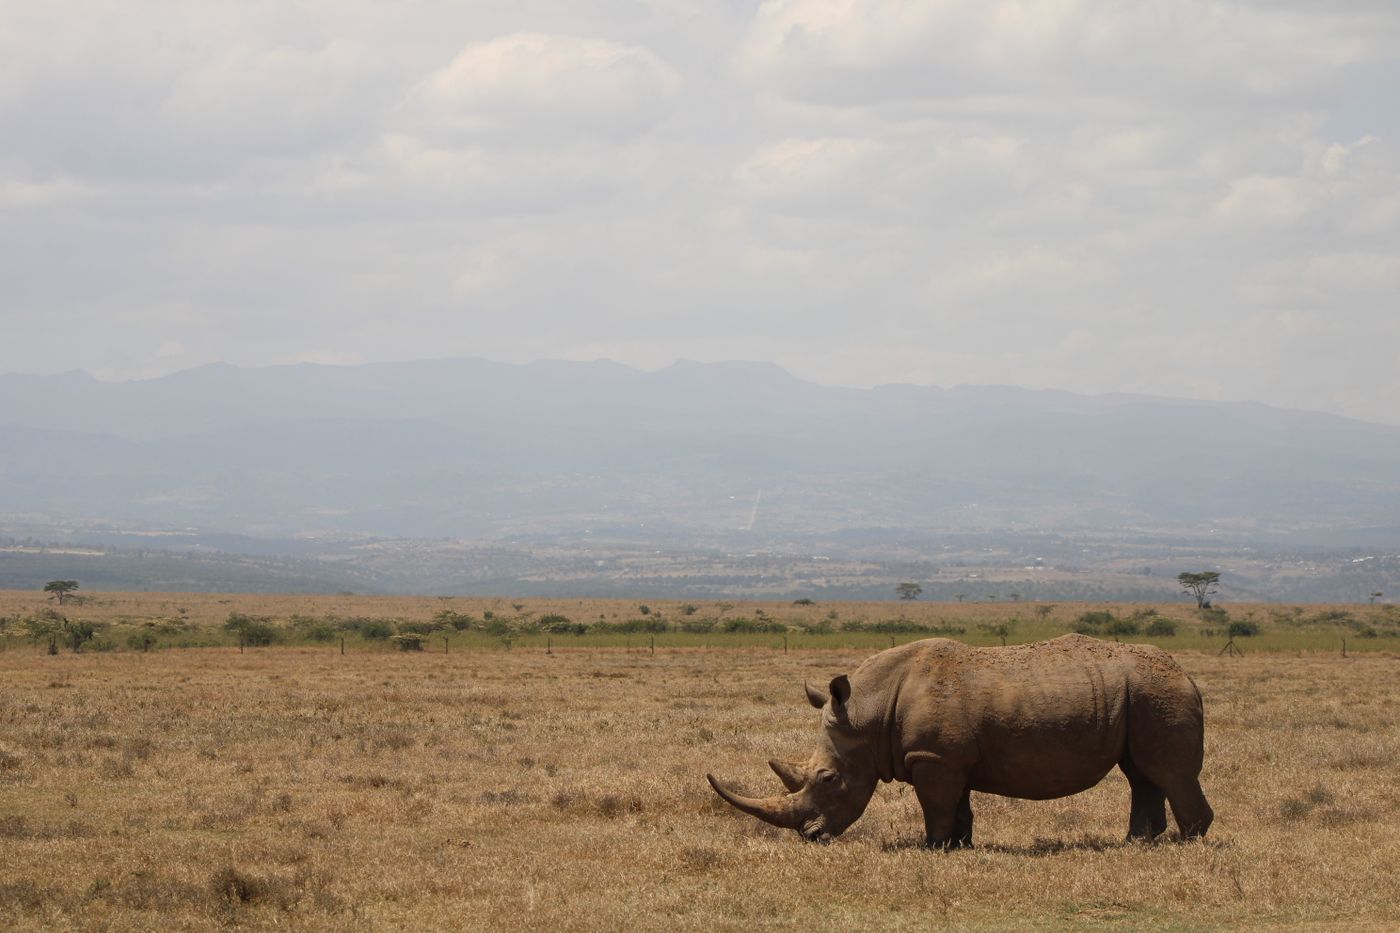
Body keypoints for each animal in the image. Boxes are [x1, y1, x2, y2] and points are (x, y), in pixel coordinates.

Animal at [707, 634, 1212, 847]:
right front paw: (960, 846)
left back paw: (1188, 843)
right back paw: (1137, 843)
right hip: (1140, 696)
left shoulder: (933, 757)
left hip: (1158, 693)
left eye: (828, 779)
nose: (810, 837)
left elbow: (936, 805)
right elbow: (959, 805)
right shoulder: (948, 757)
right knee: (1140, 772)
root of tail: (1189, 674)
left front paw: (932, 848)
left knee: (1168, 772)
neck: (869, 712)